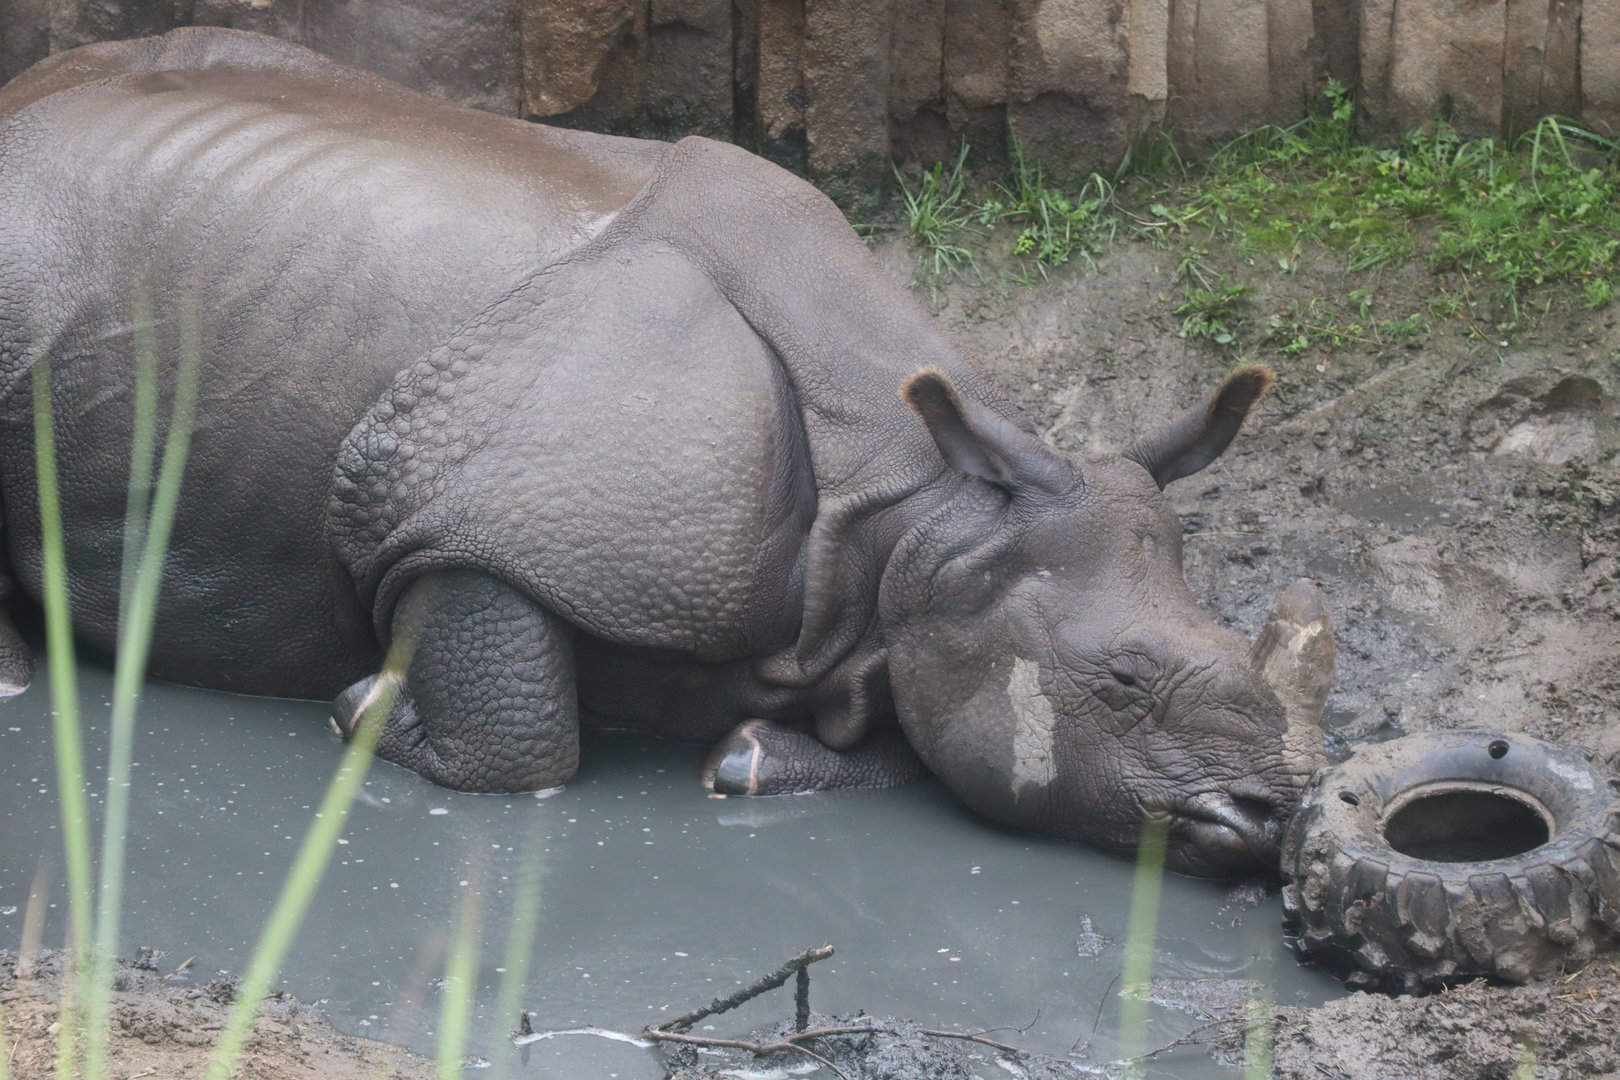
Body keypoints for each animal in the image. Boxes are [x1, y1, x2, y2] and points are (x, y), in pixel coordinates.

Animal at [0, 28, 1332, 877]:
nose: (1267, 820)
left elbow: (917, 729)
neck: (917, 512)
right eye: (1120, 683)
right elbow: (518, 733)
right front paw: (369, 704)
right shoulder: (470, 513)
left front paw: (749, 756)